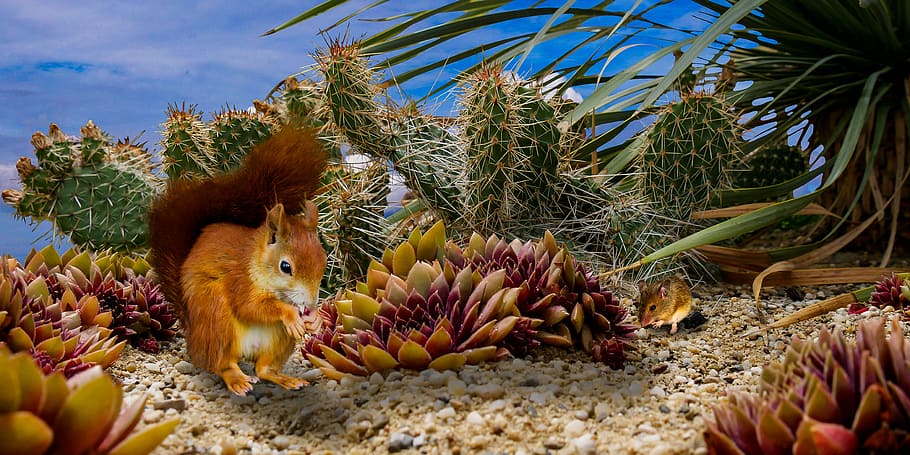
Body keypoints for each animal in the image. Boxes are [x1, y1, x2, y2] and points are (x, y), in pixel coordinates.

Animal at [148, 127, 328, 396]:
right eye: (285, 267)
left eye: (323, 260)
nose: (310, 303)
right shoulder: (239, 279)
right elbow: (249, 306)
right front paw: (290, 313)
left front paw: (315, 319)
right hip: (216, 317)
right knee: (221, 363)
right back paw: (237, 379)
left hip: (278, 340)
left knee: (264, 369)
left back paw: (285, 379)